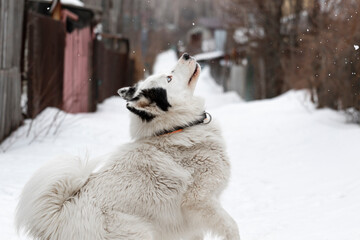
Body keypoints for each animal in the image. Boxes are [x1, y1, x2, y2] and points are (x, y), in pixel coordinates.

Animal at [15, 53, 240, 239]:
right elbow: (232, 226)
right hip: (139, 233)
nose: (185, 54)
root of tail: (58, 219)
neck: (177, 128)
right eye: (169, 78)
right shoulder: (200, 202)